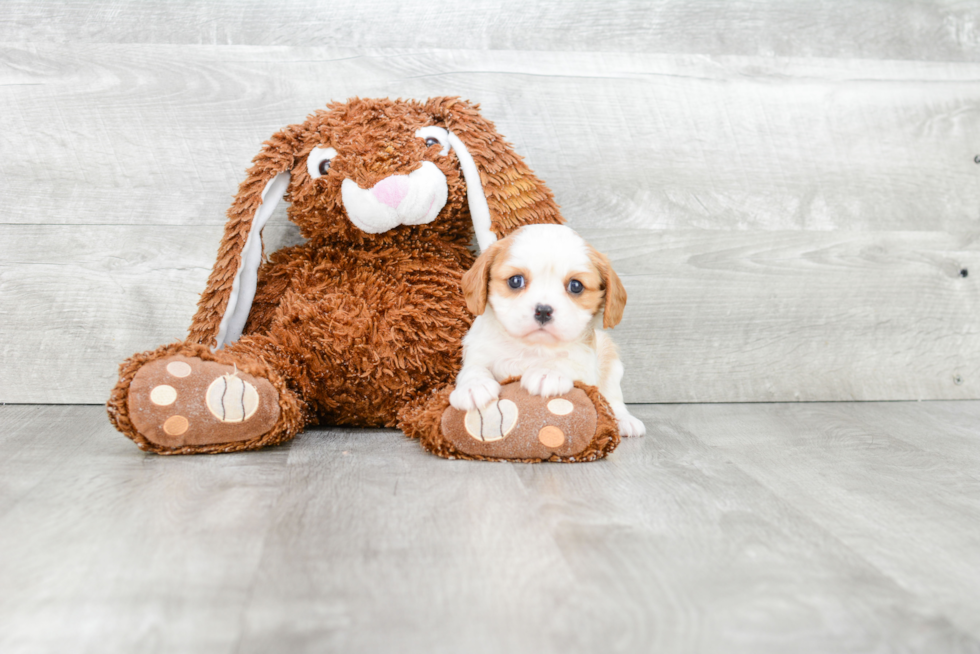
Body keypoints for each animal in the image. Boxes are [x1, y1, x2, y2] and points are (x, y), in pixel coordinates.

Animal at [448, 223, 648, 438]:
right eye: (515, 281)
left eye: (576, 286)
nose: (543, 310)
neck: (532, 347)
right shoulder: (478, 350)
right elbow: (474, 368)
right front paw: (473, 386)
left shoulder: (586, 364)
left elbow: (566, 362)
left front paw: (548, 373)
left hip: (610, 360)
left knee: (613, 397)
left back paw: (625, 420)